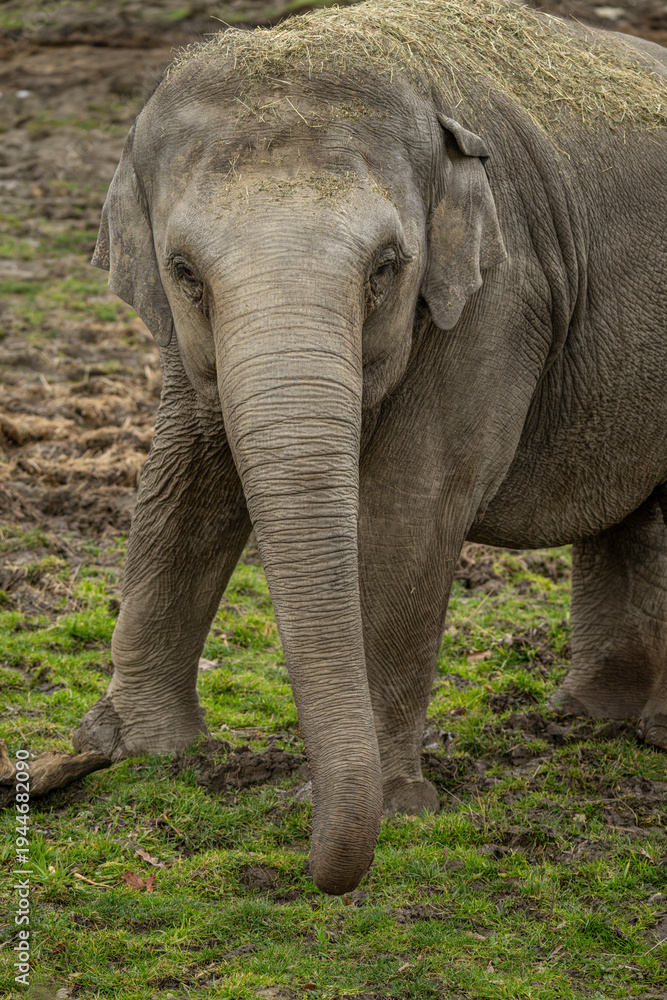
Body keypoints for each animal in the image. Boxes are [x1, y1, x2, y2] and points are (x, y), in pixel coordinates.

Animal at [72, 0, 667, 895]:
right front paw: (137, 751)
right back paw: (587, 717)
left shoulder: (499, 295)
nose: (315, 869)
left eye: (386, 267)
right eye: (184, 273)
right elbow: (186, 482)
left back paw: (648, 734)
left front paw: (393, 807)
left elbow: (411, 508)